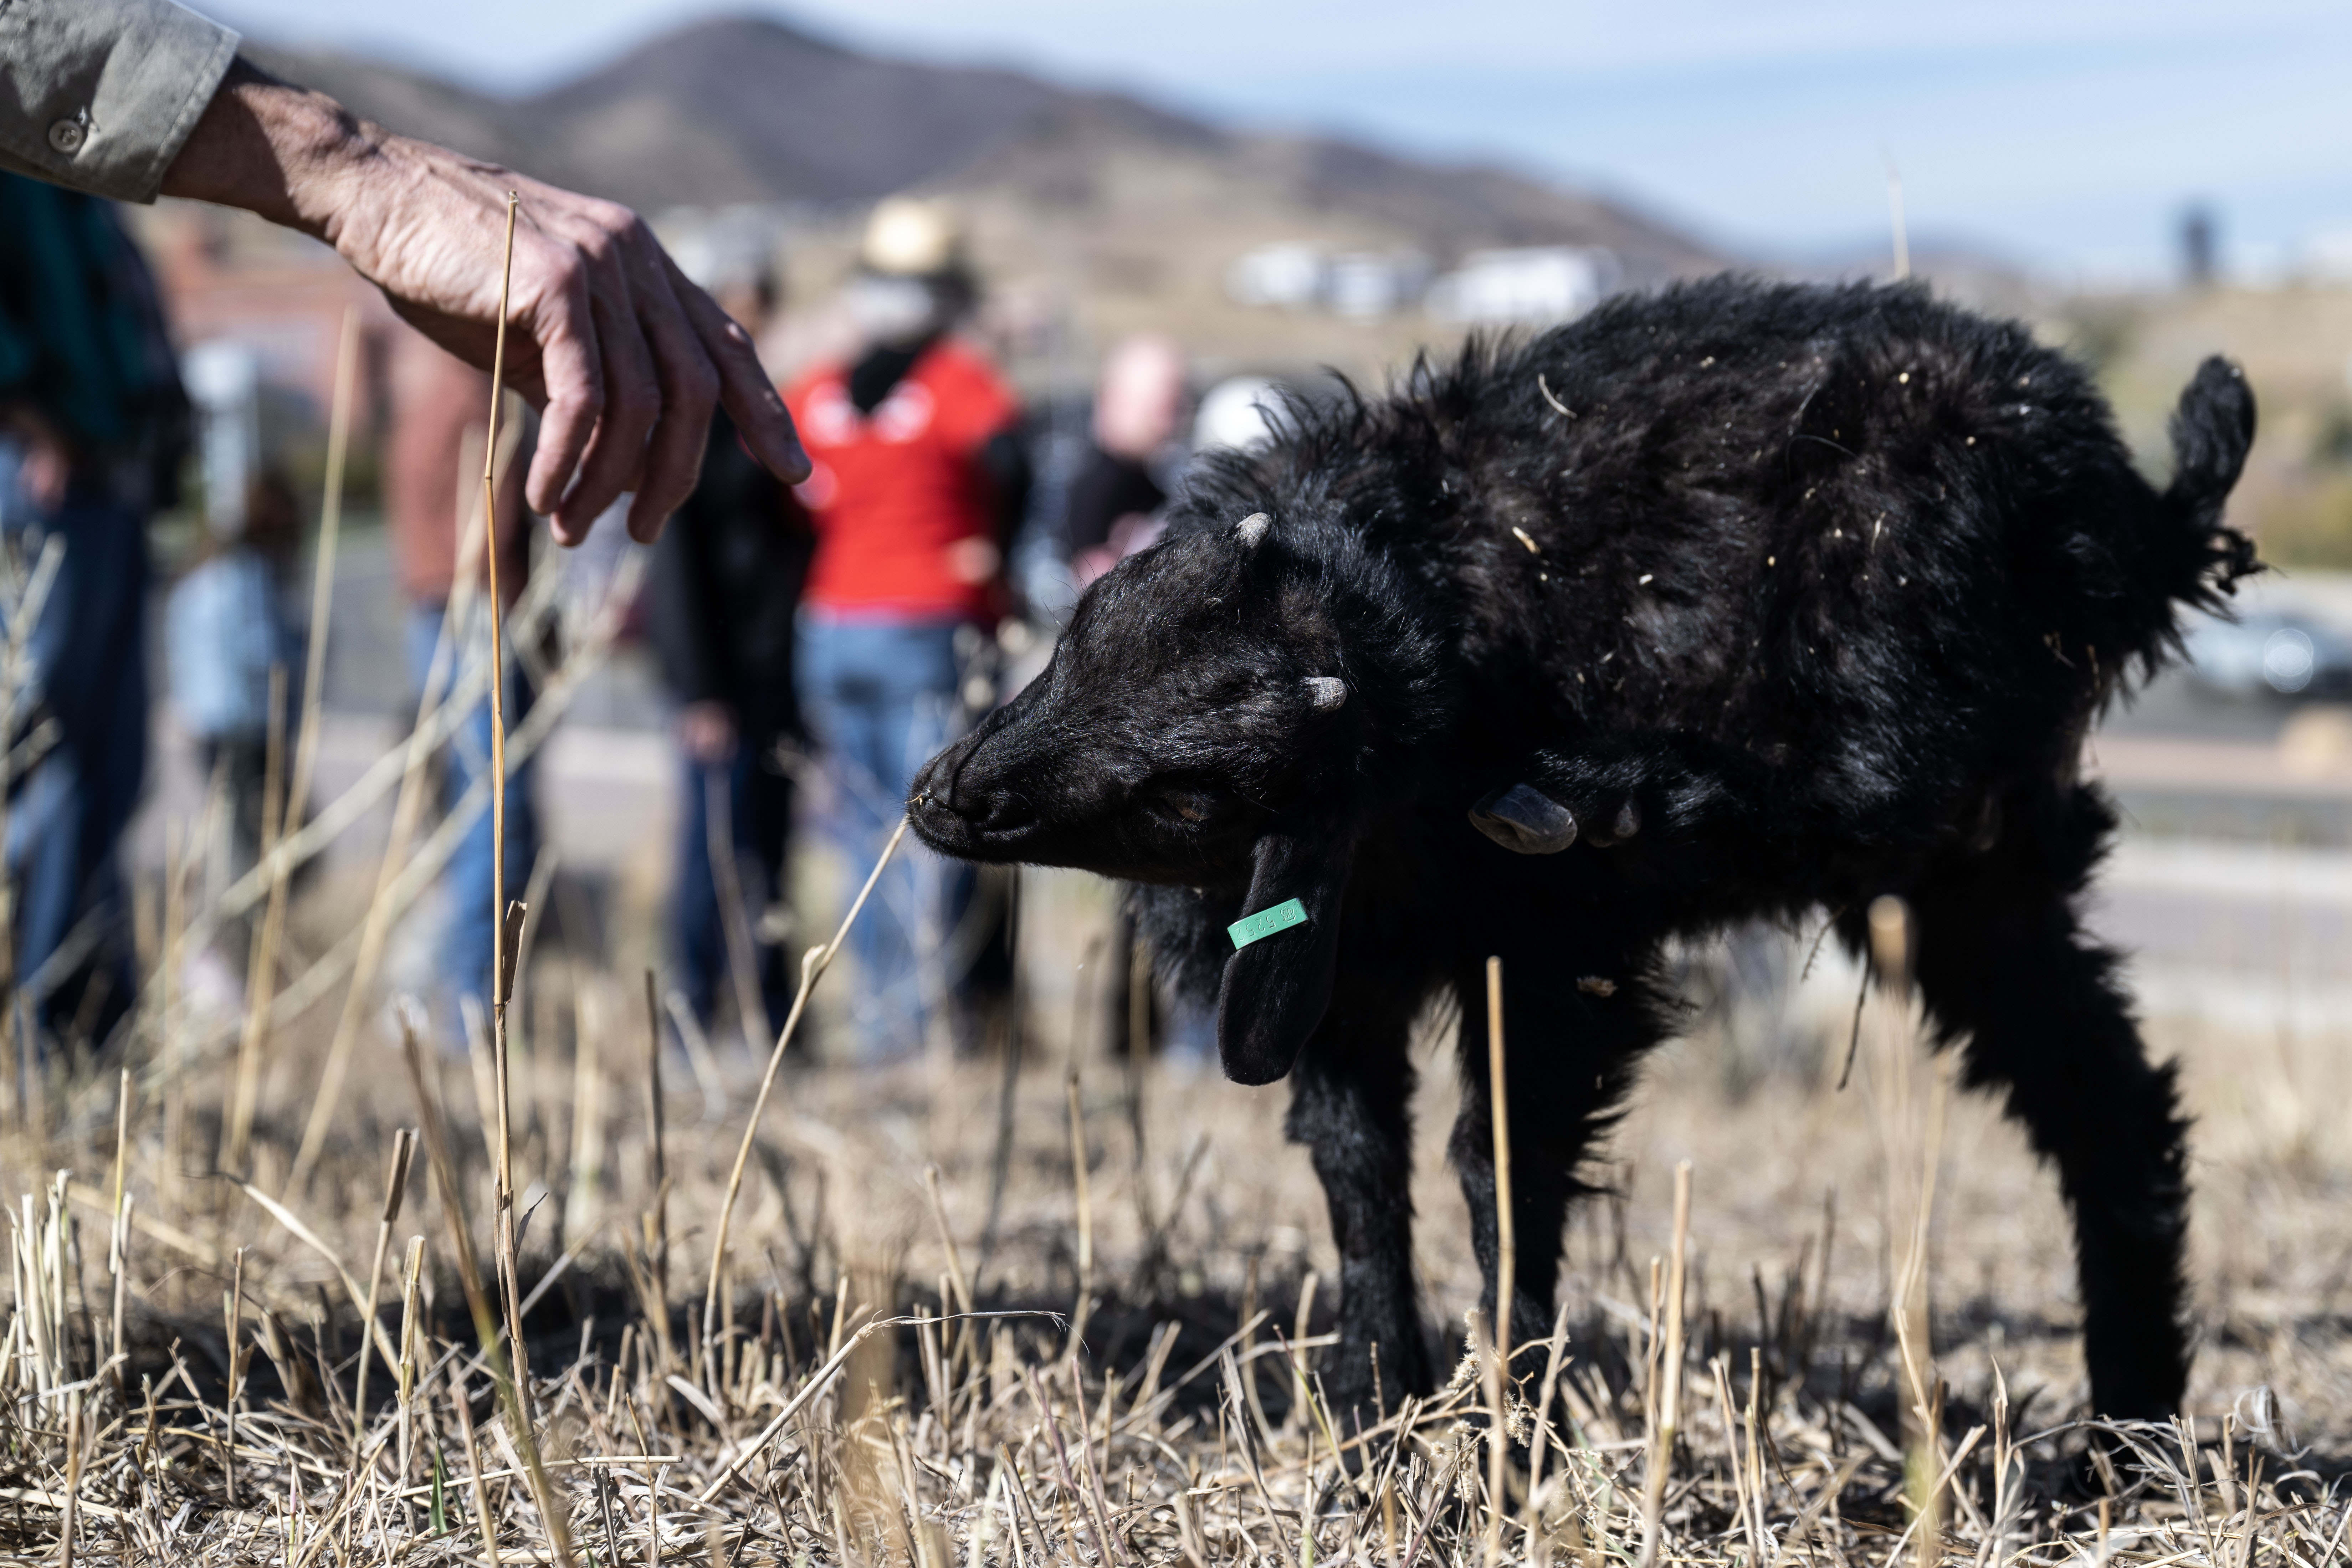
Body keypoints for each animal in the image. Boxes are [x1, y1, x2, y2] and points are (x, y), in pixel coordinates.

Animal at [911, 277, 2257, 1424]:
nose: (948, 799)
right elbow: (1358, 1166)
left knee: (1862, 790)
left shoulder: (1552, 959)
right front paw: (1377, 1405)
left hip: (1914, 694)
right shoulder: (1341, 971)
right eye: (1093, 620)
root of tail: (2132, 519)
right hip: (1985, 873)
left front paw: (1502, 1420)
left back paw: (1617, 794)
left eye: (1193, 801)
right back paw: (2120, 1434)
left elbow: (1499, 1163)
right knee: (2108, 1109)